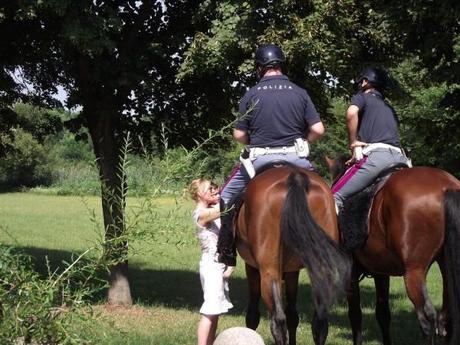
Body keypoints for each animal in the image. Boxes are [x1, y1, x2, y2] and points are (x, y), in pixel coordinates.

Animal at [228, 163, 350, 344]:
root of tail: (295, 178)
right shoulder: (292, 271)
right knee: (320, 321)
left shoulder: (252, 268)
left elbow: (252, 316)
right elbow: (293, 315)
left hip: (269, 272)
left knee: (278, 320)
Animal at [326, 157, 460, 344]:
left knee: (428, 319)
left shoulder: (350, 274)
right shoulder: (381, 273)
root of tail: (445, 186)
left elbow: (355, 315)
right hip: (446, 268)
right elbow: (383, 314)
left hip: (414, 273)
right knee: (446, 317)